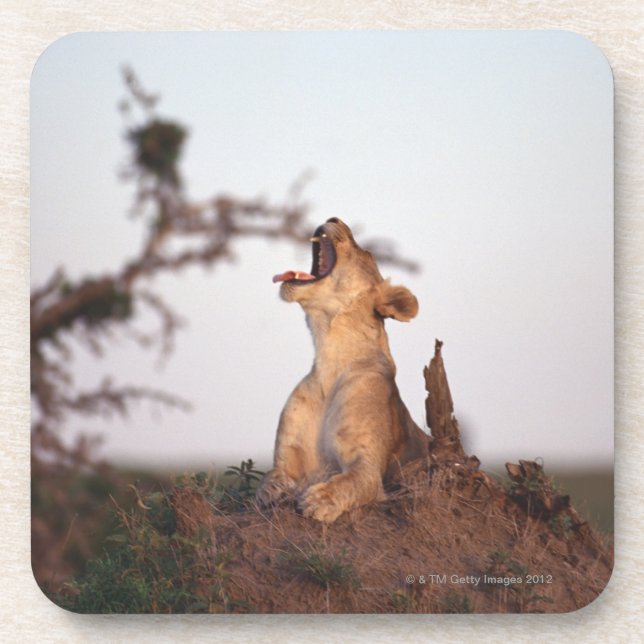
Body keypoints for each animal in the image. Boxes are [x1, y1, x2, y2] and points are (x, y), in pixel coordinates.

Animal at [256, 217, 428, 522]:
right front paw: (274, 492)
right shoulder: (286, 459)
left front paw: (317, 501)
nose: (334, 219)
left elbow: (350, 482)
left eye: (366, 252)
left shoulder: (367, 466)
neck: (329, 357)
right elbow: (269, 479)